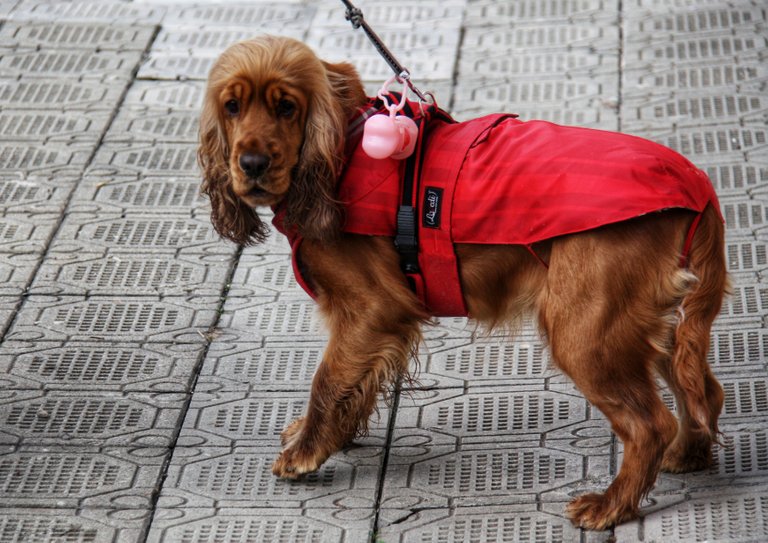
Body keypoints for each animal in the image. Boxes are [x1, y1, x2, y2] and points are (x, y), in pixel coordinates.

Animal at [198, 35, 728, 532]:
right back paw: (688, 454)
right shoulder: (367, 324)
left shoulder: (372, 309)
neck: (341, 152)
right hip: (652, 322)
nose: (251, 165)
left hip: (583, 332)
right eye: (232, 106)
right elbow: (354, 383)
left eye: (287, 107)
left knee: (649, 424)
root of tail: (696, 184)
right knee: (702, 390)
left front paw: (306, 452)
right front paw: (332, 437)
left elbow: (327, 381)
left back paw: (610, 506)